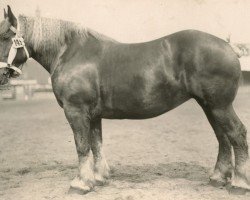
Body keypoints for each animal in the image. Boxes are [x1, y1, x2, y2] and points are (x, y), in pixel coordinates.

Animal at [0, 5, 250, 195]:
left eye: (4, 36)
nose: (2, 74)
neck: (70, 53)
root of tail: (229, 46)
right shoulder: (93, 115)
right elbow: (96, 144)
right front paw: (99, 178)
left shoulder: (76, 111)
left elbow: (82, 146)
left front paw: (80, 184)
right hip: (209, 106)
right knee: (222, 138)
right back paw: (218, 178)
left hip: (220, 106)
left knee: (236, 134)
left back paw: (239, 184)